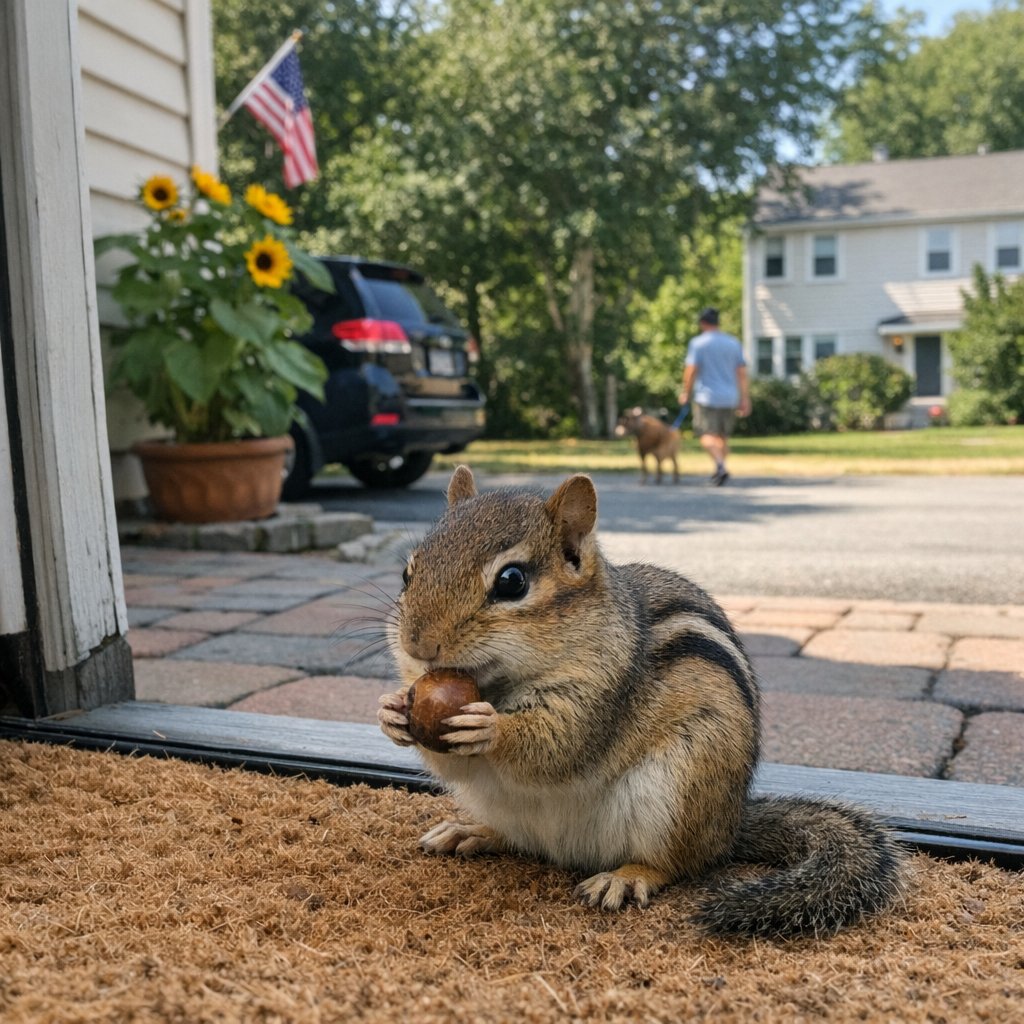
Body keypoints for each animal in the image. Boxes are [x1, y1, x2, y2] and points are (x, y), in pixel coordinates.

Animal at [378, 466, 908, 937]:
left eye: (512, 581)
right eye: (407, 572)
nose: (417, 645)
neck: (501, 684)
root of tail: (730, 827)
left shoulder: (604, 694)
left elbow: (558, 745)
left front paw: (490, 728)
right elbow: (451, 760)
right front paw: (392, 712)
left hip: (681, 787)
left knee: (677, 863)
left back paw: (628, 876)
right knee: (517, 837)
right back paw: (472, 832)